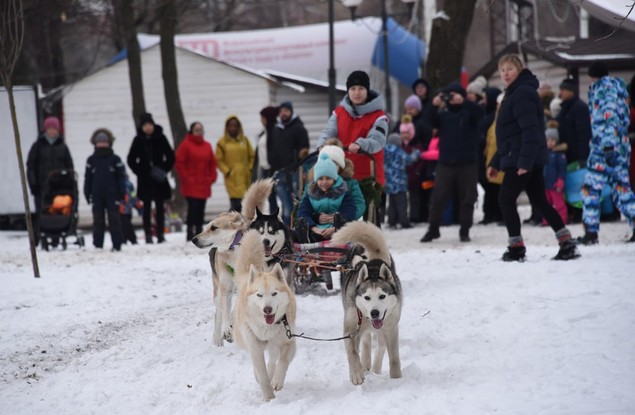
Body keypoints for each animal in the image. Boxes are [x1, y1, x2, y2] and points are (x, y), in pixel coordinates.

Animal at [192, 178, 274, 346]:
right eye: (206, 227)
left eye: (213, 227)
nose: (193, 239)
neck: (234, 250)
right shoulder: (226, 289)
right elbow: (224, 312)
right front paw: (225, 330)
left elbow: (235, 309)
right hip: (217, 290)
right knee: (219, 312)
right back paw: (218, 337)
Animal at [233, 229, 297, 401]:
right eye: (259, 295)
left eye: (274, 293)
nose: (267, 309)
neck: (268, 328)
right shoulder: (254, 347)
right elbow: (261, 375)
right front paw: (269, 398)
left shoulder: (289, 342)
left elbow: (282, 362)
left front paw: (277, 381)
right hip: (246, 340)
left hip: (275, 344)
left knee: (273, 359)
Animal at [331, 221, 402, 385]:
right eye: (366, 297)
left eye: (382, 296)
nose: (374, 312)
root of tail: (372, 261)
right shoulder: (351, 329)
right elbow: (352, 352)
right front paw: (357, 374)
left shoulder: (391, 328)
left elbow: (394, 357)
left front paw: (397, 379)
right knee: (366, 343)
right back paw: (365, 363)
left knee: (381, 345)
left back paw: (375, 367)